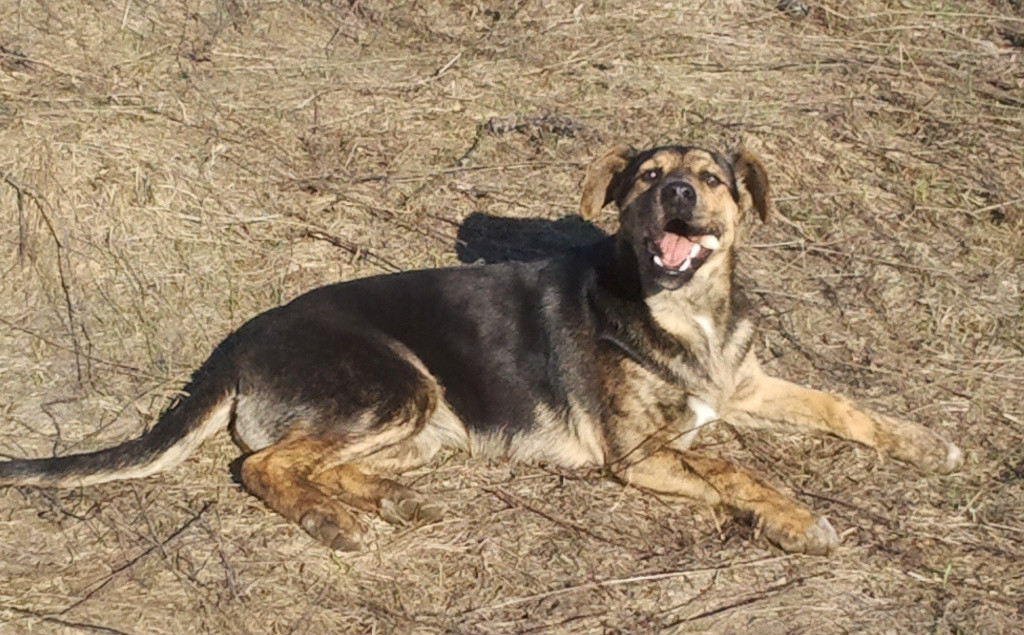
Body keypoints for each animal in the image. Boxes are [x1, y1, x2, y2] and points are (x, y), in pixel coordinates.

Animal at [0, 144, 963, 555]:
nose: (680, 195)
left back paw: (388, 501)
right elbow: (731, 461)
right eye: (650, 177)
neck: (684, 312)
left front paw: (923, 440)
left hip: (422, 422)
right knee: (264, 465)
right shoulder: (637, 452)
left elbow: (840, 404)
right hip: (394, 387)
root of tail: (241, 336)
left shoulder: (743, 382)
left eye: (712, 180)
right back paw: (335, 520)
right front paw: (789, 516)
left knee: (312, 460)